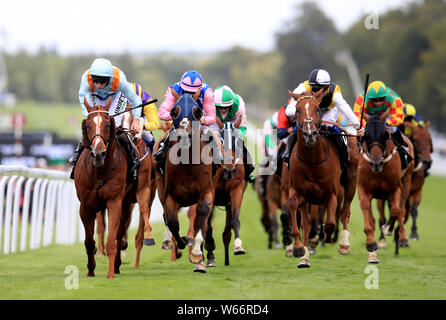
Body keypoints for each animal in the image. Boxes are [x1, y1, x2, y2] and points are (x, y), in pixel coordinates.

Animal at [75, 97, 133, 278]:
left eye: (108, 125)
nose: (98, 153)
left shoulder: (115, 202)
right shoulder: (86, 206)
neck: (99, 172)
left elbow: (112, 241)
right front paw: (91, 270)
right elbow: (88, 241)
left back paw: (117, 264)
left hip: (126, 204)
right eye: (88, 125)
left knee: (120, 234)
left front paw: (110, 273)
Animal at [152, 92, 217, 272]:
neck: (187, 164)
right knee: (166, 215)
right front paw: (183, 242)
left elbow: (202, 215)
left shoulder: (207, 192)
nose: (183, 135)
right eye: (174, 111)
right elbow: (173, 222)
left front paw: (196, 253)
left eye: (197, 112)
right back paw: (168, 240)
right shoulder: (171, 195)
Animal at [286, 90, 344, 268]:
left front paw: (325, 236)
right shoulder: (299, 192)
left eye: (317, 109)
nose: (310, 133)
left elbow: (330, 223)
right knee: (306, 222)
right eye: (297, 110)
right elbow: (293, 207)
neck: (312, 160)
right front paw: (298, 248)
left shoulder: (331, 194)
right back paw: (304, 255)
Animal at [356, 115, 414, 262]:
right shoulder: (363, 189)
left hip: (407, 179)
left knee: (402, 209)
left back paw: (403, 238)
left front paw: (388, 229)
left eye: (385, 134)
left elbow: (395, 211)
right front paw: (371, 243)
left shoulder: (395, 189)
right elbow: (367, 211)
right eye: (366, 134)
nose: (376, 162)